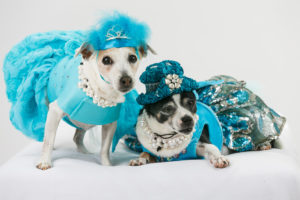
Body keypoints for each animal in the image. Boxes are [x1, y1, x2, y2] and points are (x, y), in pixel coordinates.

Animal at [3, 11, 155, 170]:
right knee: (47, 133)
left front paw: (106, 165)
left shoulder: (110, 125)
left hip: (83, 122)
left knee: (77, 137)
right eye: (106, 60)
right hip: (47, 110)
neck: (100, 92)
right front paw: (45, 161)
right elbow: (48, 141)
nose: (126, 79)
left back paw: (84, 153)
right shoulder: (55, 110)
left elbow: (104, 149)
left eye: (132, 58)